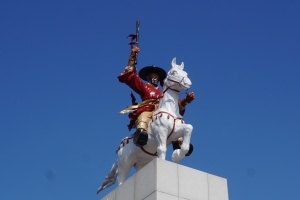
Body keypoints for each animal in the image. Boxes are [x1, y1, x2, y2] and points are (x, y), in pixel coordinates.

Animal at [97, 57, 193, 194]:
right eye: (174, 72)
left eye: (185, 72)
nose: (188, 82)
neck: (169, 109)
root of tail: (119, 149)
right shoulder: (161, 132)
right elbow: (162, 149)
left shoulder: (175, 133)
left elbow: (189, 128)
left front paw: (178, 154)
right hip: (124, 163)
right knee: (121, 180)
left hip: (141, 162)